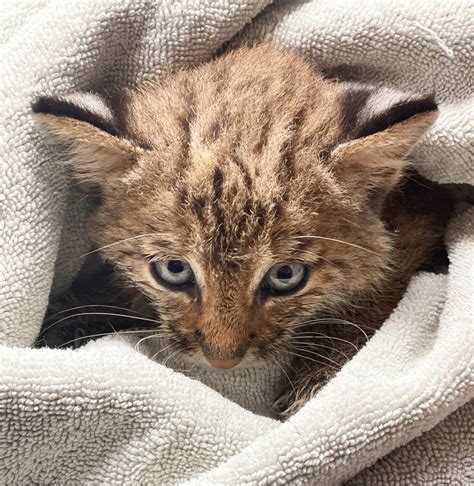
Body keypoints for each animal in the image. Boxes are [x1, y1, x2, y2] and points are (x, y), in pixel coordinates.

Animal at [32, 45, 456, 416]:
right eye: (174, 270)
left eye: (286, 275)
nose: (222, 361)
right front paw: (69, 316)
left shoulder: (419, 216)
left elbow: (379, 288)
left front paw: (317, 382)